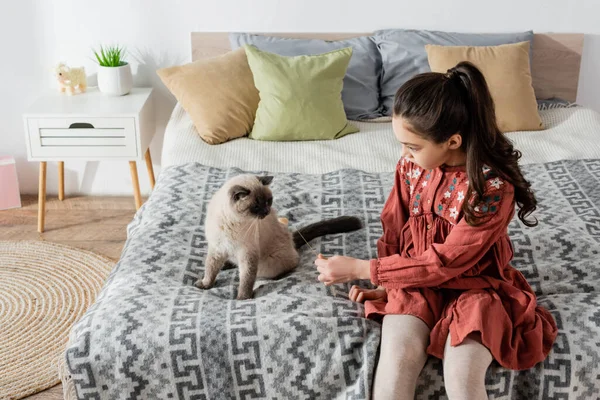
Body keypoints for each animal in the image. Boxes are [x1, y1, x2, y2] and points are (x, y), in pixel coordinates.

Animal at [195, 173, 360, 298]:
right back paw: (226, 265)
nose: (267, 212)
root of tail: (291, 240)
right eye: (256, 207)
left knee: (289, 265)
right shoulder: (217, 249)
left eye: (269, 201)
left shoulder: (248, 254)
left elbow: (246, 279)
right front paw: (205, 284)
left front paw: (243, 298)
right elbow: (210, 270)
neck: (233, 223)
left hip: (268, 264)